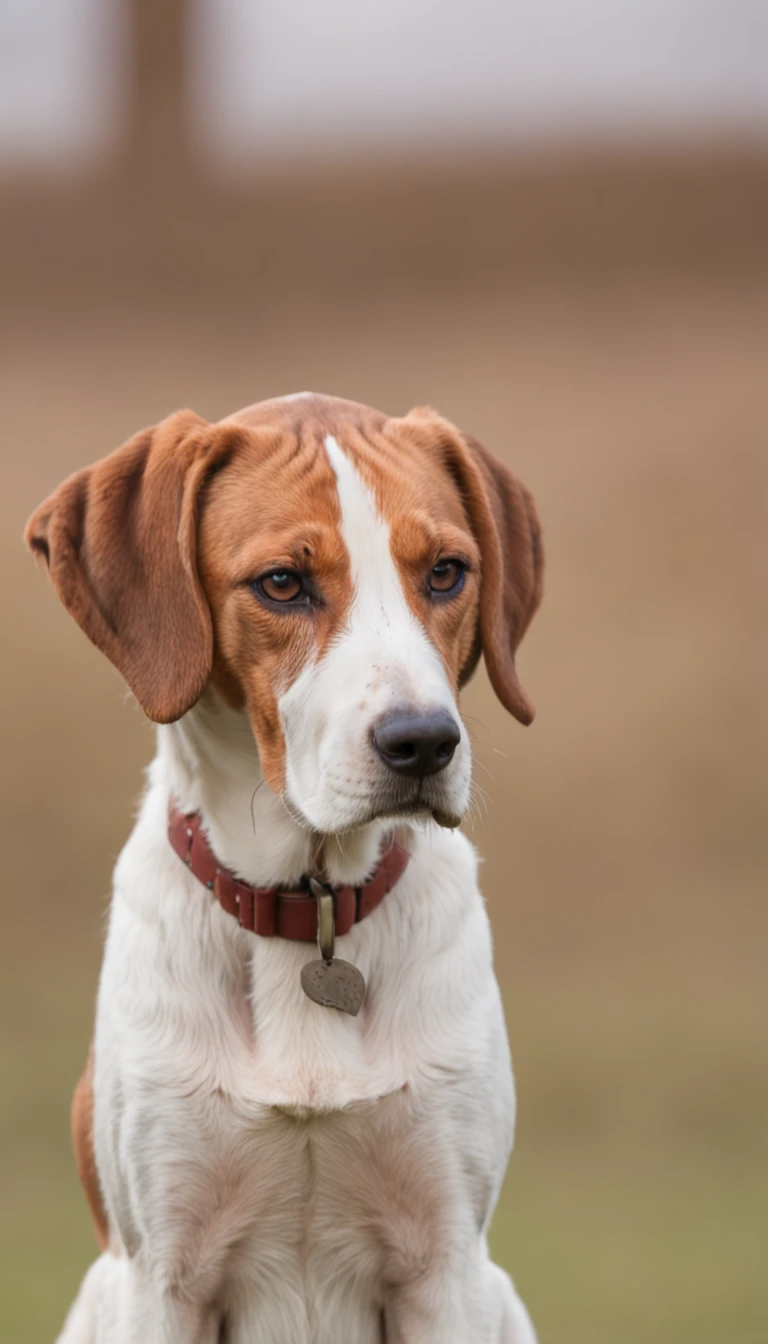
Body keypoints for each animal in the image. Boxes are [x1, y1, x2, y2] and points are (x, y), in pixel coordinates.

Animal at [27, 392, 543, 1344]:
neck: (310, 907)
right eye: (281, 584)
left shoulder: (448, 1264)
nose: (425, 742)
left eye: (447, 573)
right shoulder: (160, 1275)